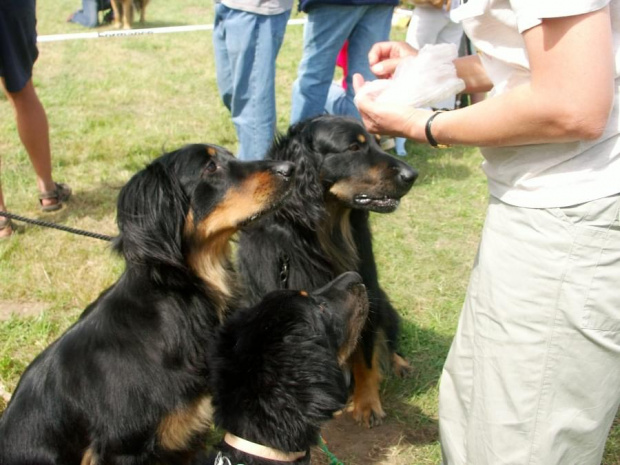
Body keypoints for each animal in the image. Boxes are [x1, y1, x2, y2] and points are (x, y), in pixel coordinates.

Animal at [235, 114, 418, 426]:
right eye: (353, 148)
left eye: (376, 142)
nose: (412, 175)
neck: (320, 235)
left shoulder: (365, 289)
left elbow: (365, 353)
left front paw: (366, 403)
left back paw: (398, 363)